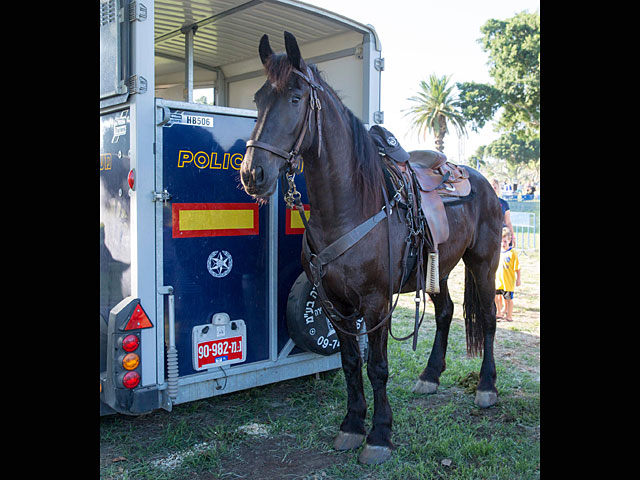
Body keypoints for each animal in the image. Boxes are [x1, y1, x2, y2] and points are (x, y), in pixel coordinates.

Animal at [238, 31, 502, 464]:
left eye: (295, 97)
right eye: (258, 98)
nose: (252, 173)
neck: (349, 207)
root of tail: (482, 181)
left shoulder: (376, 303)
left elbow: (377, 366)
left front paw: (379, 435)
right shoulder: (334, 303)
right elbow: (350, 363)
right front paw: (351, 425)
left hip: (483, 262)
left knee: (491, 318)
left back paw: (487, 388)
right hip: (439, 267)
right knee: (445, 311)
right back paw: (430, 376)